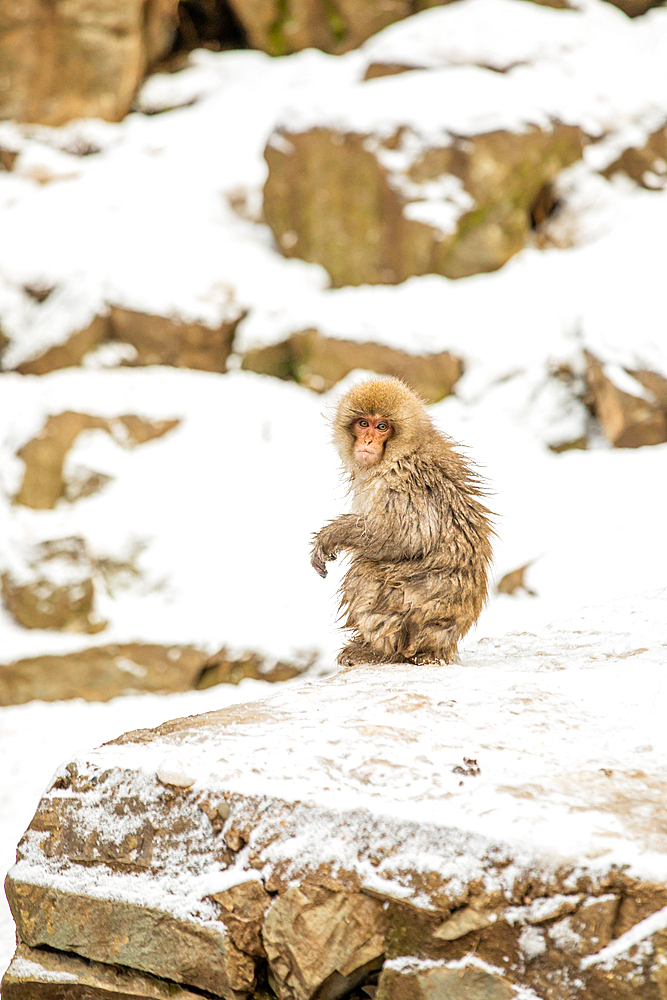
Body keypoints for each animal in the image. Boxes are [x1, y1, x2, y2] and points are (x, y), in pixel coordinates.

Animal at [310, 378, 494, 668]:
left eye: (382, 427)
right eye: (363, 423)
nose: (368, 440)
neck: (401, 452)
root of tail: (442, 647)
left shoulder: (403, 481)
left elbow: (407, 537)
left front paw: (331, 535)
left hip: (410, 616)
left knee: (365, 569)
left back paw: (378, 652)